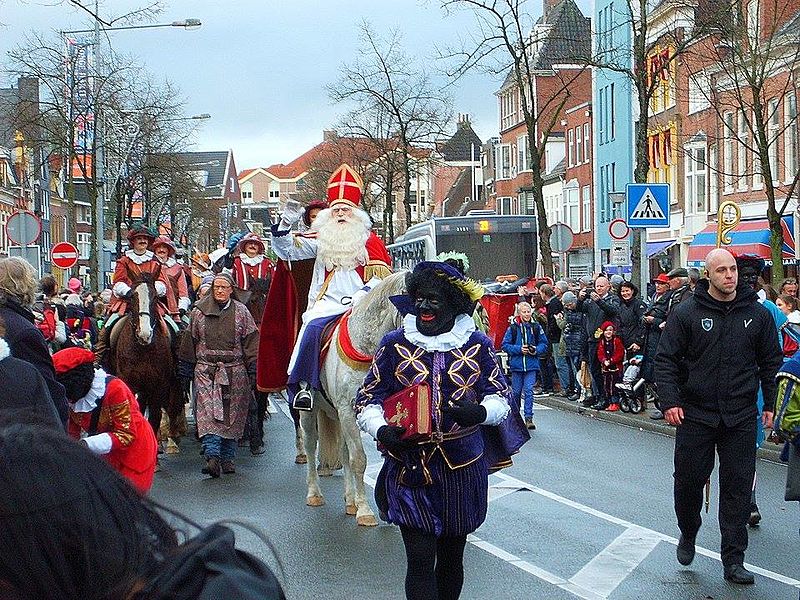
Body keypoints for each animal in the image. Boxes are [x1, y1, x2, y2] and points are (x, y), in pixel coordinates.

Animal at [110, 272, 184, 446]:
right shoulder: (128, 382)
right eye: (131, 297)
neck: (143, 349)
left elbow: (155, 417)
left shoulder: (158, 386)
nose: (145, 334)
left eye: (156, 297)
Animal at [304, 270, 410, 524]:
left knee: (344, 452)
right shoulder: (348, 410)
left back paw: (350, 500)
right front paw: (365, 511)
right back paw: (314, 494)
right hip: (309, 413)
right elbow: (359, 459)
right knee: (311, 445)